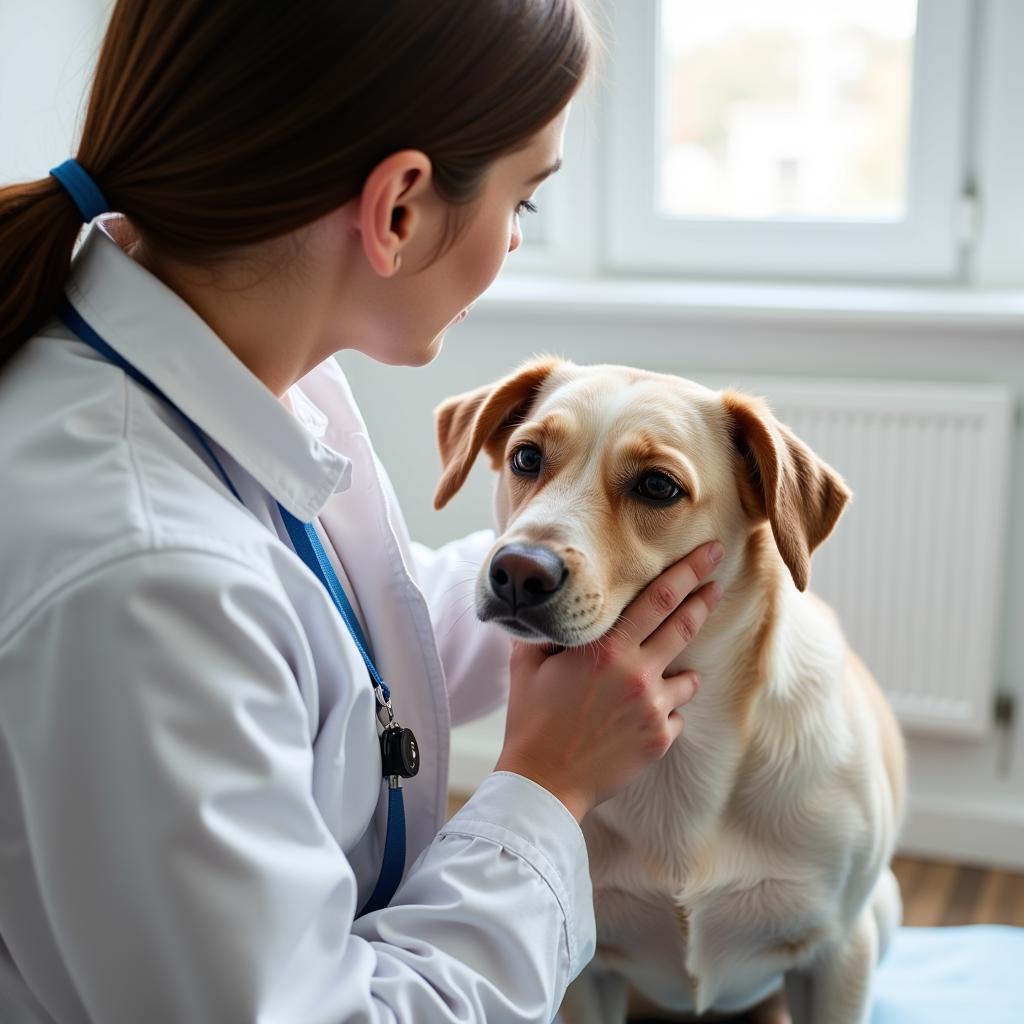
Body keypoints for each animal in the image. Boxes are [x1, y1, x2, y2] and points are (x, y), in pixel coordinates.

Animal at [430, 354, 905, 1024]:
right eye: (526, 457)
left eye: (657, 486)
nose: (518, 572)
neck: (683, 753)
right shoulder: (586, 976)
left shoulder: (839, 955)